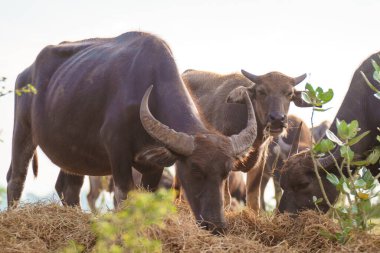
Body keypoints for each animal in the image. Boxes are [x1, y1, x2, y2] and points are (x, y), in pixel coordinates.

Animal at [5, 31, 256, 233]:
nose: (216, 226)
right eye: (195, 169)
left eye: (226, 172)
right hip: (23, 131)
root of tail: (26, 73)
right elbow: (124, 197)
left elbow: (147, 198)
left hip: (72, 155)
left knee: (68, 189)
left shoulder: (155, 166)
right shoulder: (117, 153)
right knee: (16, 178)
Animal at [182, 68, 312, 211]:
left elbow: (253, 200)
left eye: (289, 93)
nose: (277, 119)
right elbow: (225, 199)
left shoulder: (260, 163)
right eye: (261, 91)